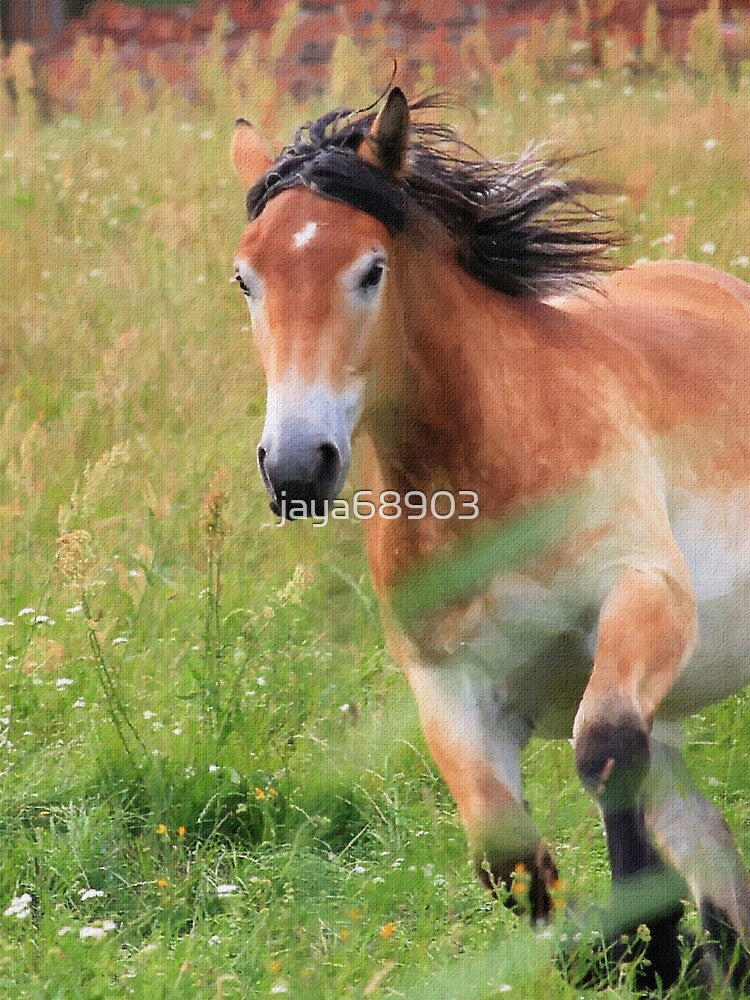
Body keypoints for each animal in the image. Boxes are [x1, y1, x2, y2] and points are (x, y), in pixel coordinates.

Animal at [229, 88, 750, 991]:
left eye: (371, 269)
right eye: (245, 277)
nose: (296, 467)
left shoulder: (644, 598)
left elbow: (603, 750)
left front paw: (646, 944)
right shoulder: (449, 686)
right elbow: (504, 856)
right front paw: (611, 954)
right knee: (708, 839)